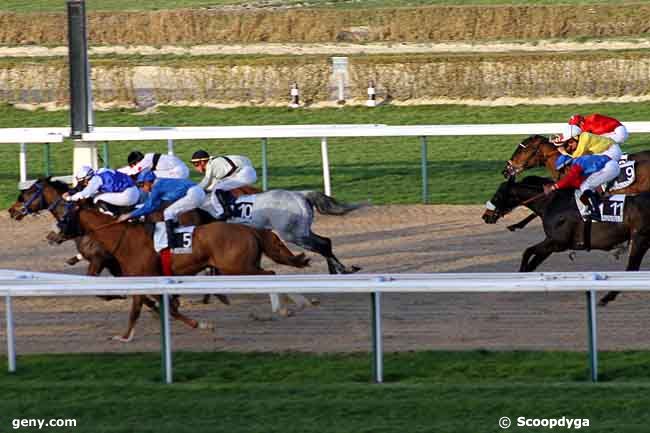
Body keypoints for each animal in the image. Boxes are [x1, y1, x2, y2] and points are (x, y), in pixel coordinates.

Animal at [58, 202, 308, 340]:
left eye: (65, 217)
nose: (54, 235)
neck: (126, 240)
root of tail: (249, 230)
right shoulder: (148, 282)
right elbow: (162, 309)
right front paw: (201, 325)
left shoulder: (146, 279)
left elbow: (141, 310)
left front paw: (123, 337)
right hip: (240, 267)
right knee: (272, 275)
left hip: (237, 267)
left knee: (270, 275)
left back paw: (284, 307)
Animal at [478, 176, 648, 304]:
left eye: (497, 196)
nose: (486, 216)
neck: (550, 203)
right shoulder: (551, 242)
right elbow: (533, 259)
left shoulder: (558, 243)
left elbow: (527, 251)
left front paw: (520, 275)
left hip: (640, 238)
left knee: (632, 267)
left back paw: (607, 298)